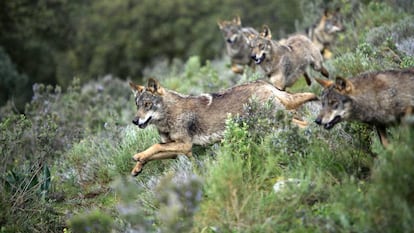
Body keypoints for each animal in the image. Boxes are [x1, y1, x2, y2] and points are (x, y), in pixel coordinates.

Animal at [129, 77, 316, 176]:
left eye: (147, 104)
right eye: (137, 105)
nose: (134, 121)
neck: (169, 114)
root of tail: (264, 83)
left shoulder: (185, 146)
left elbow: (154, 146)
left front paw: (137, 156)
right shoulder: (178, 151)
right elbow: (154, 151)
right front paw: (137, 167)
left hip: (274, 123)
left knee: (305, 124)